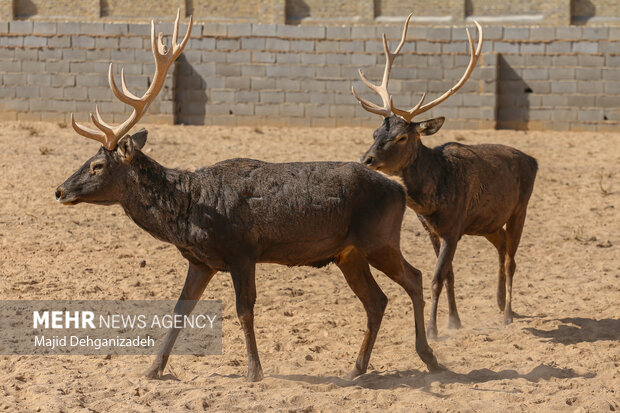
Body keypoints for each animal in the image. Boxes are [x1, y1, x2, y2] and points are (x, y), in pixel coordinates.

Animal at [55, 12, 438, 380]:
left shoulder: (242, 251)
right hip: (349, 253)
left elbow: (244, 311)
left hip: (379, 239)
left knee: (414, 278)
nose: (60, 190)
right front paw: (152, 370)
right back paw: (356, 369)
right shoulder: (202, 261)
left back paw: (429, 357)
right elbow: (180, 310)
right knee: (377, 301)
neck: (190, 215)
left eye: (98, 165)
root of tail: (399, 190)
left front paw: (254, 371)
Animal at [354, 15, 536, 338]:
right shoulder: (433, 230)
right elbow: (449, 274)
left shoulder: (453, 227)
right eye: (376, 133)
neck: (431, 201)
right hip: (488, 222)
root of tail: (533, 160)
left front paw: (434, 330)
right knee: (502, 246)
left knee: (512, 260)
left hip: (520, 208)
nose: (367, 159)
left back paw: (508, 315)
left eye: (402, 137)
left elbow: (438, 277)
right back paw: (500, 303)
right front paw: (454, 321)